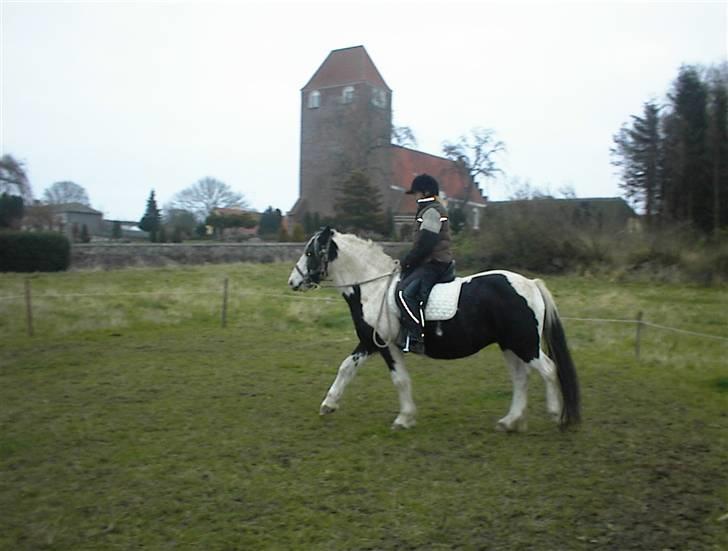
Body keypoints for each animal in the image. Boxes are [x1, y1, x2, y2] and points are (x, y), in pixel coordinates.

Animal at [288, 226, 580, 434]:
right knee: (521, 378)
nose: (292, 282)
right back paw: (509, 421)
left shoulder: (385, 344)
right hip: (509, 344)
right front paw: (329, 404)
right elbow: (346, 367)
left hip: (524, 343)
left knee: (548, 370)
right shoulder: (370, 343)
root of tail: (530, 283)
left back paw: (556, 414)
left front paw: (404, 418)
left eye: (310, 252)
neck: (373, 288)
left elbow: (399, 380)